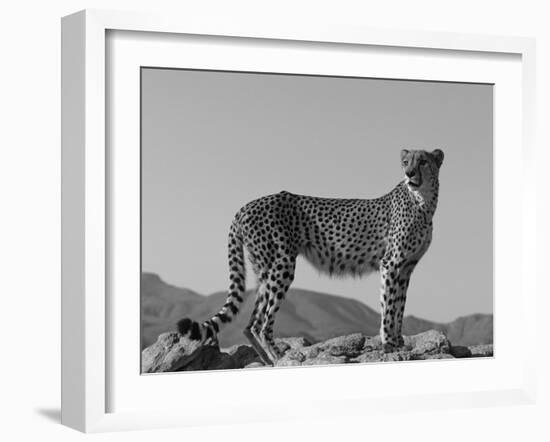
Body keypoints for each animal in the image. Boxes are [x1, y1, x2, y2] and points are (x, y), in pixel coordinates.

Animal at [179, 148, 446, 366]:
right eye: (405, 162)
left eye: (423, 161)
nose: (409, 174)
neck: (423, 202)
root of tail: (247, 205)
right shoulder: (391, 264)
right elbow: (389, 306)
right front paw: (389, 343)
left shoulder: (406, 268)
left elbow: (399, 305)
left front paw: (398, 341)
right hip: (282, 264)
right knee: (262, 323)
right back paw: (280, 357)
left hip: (264, 269)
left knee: (250, 324)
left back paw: (267, 360)